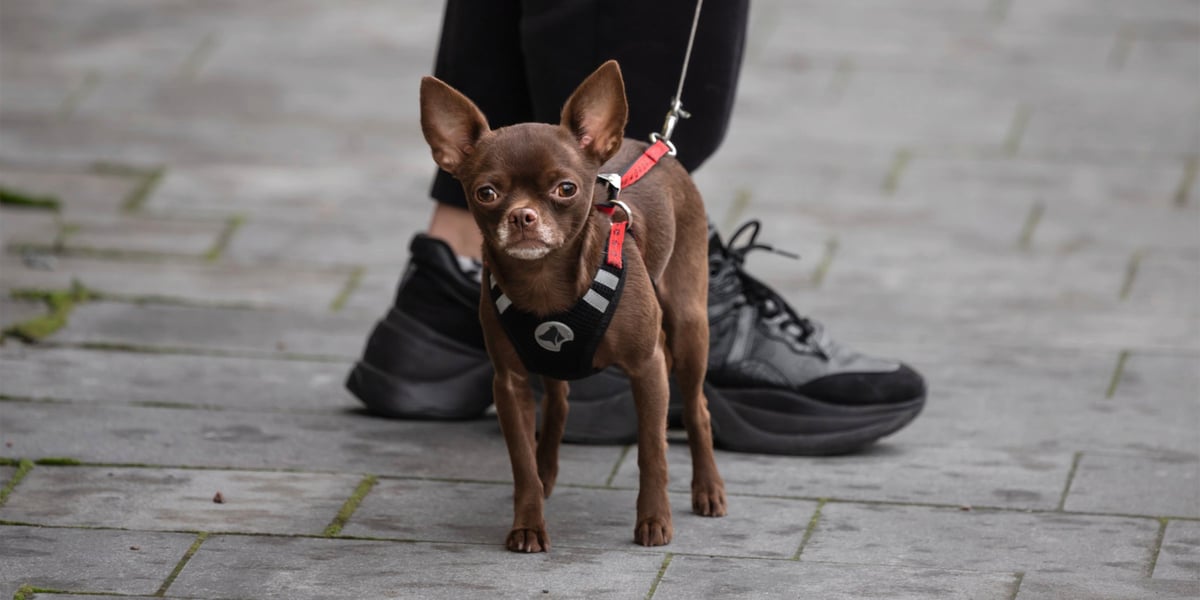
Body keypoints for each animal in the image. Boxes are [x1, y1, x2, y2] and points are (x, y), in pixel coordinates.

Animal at [419, 60, 726, 553]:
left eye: (566, 188)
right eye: (486, 193)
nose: (522, 216)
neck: (544, 284)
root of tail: (656, 147)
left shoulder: (647, 368)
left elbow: (652, 450)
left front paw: (654, 520)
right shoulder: (509, 383)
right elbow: (521, 461)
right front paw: (528, 524)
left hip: (689, 323)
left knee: (698, 407)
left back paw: (708, 489)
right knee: (560, 403)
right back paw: (548, 475)